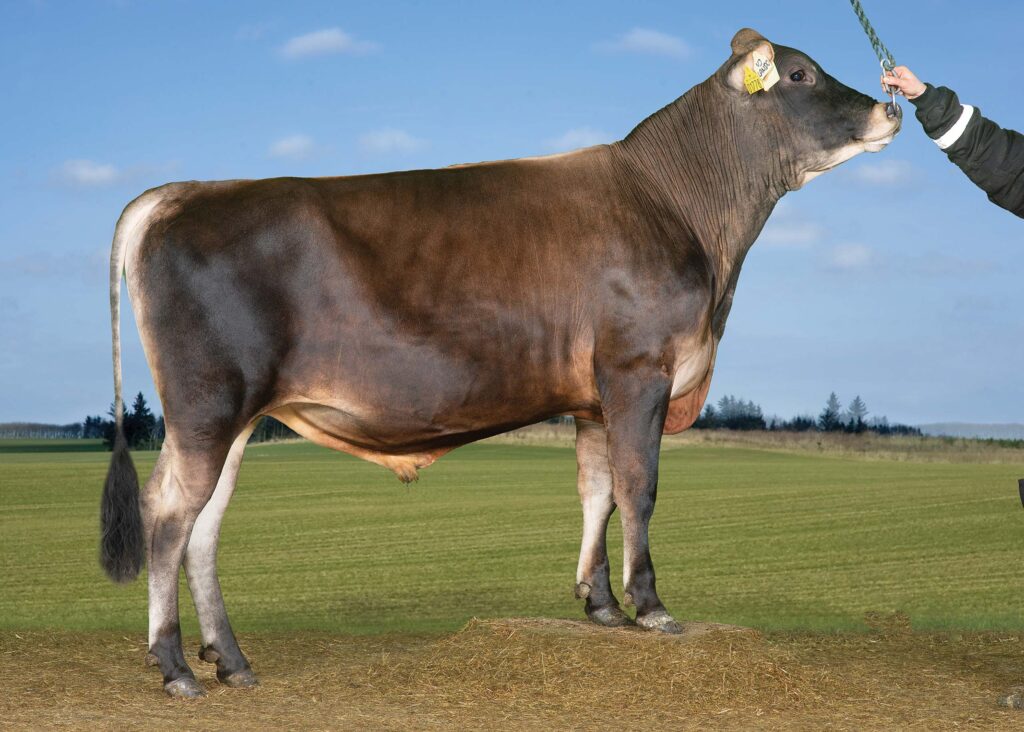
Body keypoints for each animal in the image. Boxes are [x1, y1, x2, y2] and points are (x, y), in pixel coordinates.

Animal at [100, 29, 900, 697]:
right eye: (800, 73)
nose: (891, 108)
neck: (683, 210)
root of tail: (182, 192)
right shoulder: (638, 370)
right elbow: (639, 488)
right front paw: (651, 607)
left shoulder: (592, 397)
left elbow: (596, 491)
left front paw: (601, 605)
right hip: (207, 404)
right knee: (168, 512)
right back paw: (175, 667)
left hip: (233, 415)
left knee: (205, 524)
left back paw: (231, 660)